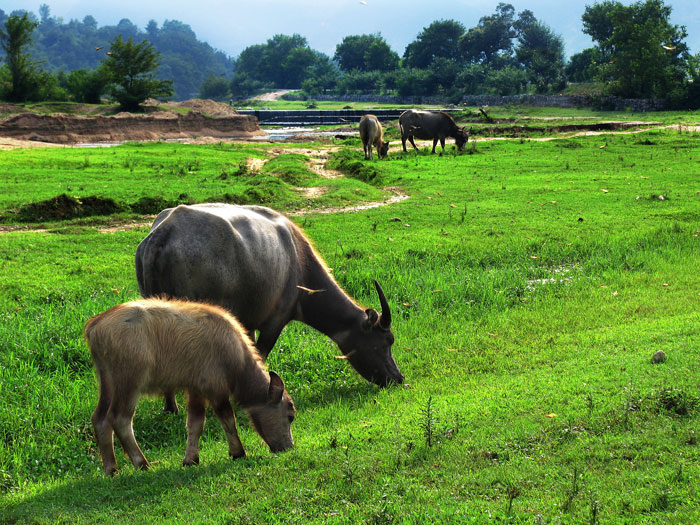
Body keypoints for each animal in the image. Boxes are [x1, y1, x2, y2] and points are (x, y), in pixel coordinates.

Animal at [85, 296, 296, 476]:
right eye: (290, 416)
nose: (289, 447)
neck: (236, 356)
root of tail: (96, 324)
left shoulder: (196, 390)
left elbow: (195, 423)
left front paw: (191, 459)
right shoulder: (215, 389)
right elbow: (228, 419)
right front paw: (238, 452)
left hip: (107, 383)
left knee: (100, 418)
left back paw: (111, 469)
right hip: (128, 383)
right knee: (120, 419)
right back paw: (142, 463)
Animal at [135, 203, 404, 412]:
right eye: (385, 341)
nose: (398, 378)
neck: (300, 262)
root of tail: (164, 231)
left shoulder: (249, 321)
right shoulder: (276, 319)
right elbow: (261, 354)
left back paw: (171, 406)